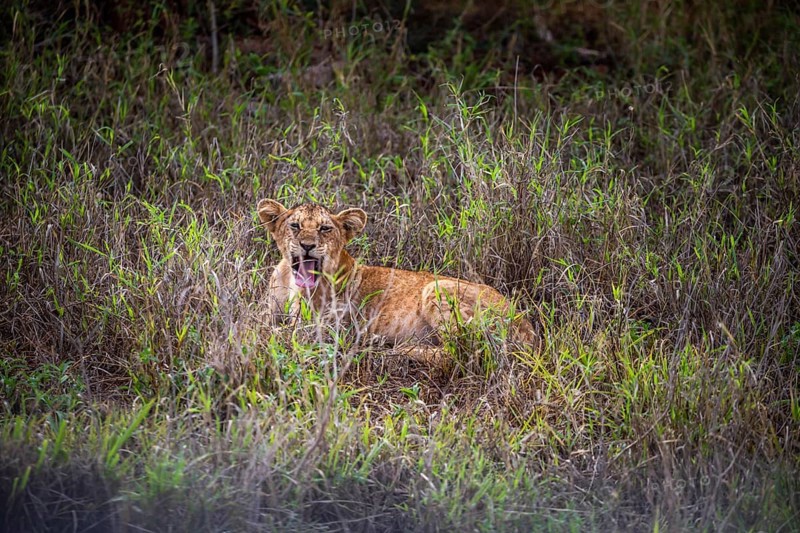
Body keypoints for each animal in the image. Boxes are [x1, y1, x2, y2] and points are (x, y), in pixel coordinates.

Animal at [258, 199, 537, 363]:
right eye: (295, 225)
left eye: (325, 229)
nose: (307, 245)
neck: (290, 281)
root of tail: (529, 329)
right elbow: (259, 325)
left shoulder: (321, 328)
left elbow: (274, 334)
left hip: (437, 288)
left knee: (461, 351)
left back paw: (394, 348)